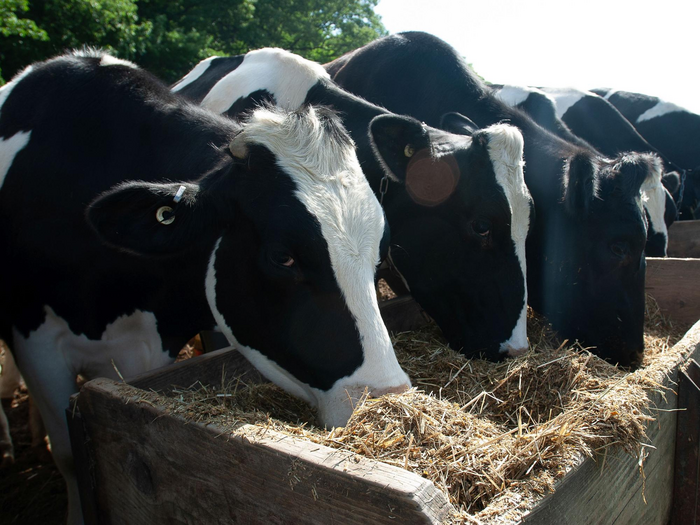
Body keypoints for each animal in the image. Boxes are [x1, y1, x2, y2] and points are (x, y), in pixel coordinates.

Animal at [0, 51, 410, 520]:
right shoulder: (35, 342)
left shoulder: (148, 346)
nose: (389, 397)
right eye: (282, 256)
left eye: (380, 252)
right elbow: (68, 455)